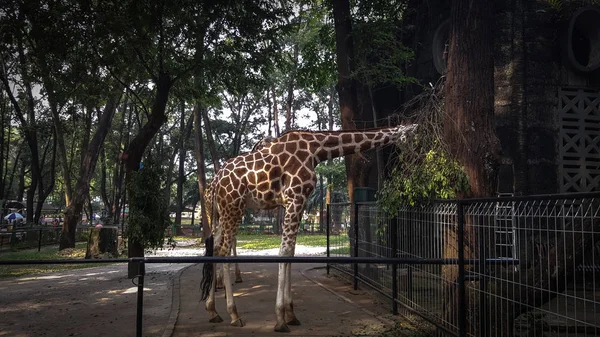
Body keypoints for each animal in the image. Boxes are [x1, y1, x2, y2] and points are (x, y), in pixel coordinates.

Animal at [202, 123, 418, 330]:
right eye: (413, 136)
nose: (412, 159)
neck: (316, 149)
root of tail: (215, 181)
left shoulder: (297, 201)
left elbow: (290, 252)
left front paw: (290, 314)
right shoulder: (295, 198)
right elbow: (285, 252)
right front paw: (280, 318)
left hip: (224, 211)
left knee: (215, 247)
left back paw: (212, 310)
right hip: (233, 207)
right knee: (224, 250)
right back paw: (234, 314)